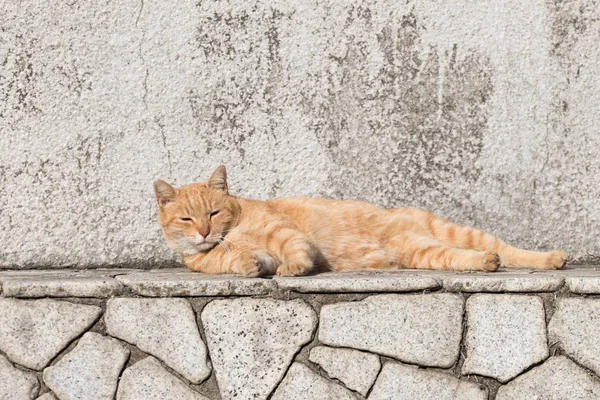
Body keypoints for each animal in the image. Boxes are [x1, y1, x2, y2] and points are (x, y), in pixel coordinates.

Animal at [155, 165, 568, 276]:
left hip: (455, 232)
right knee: (465, 256)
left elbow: (295, 249)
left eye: (213, 213)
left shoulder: (283, 232)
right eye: (187, 219)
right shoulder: (219, 258)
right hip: (424, 251)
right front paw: (248, 264)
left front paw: (295, 268)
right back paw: (487, 263)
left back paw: (551, 257)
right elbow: (238, 261)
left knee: (507, 249)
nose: (205, 231)